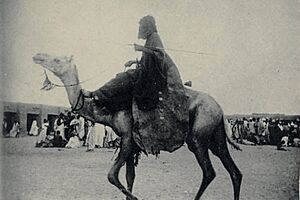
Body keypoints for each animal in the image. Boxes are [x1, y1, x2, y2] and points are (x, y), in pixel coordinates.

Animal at [32, 53, 243, 200]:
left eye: (57, 59)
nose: (37, 56)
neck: (108, 108)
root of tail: (220, 109)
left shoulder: (127, 137)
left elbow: (112, 176)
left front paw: (136, 197)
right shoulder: (133, 145)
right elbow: (129, 177)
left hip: (198, 136)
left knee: (209, 172)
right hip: (215, 137)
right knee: (234, 171)